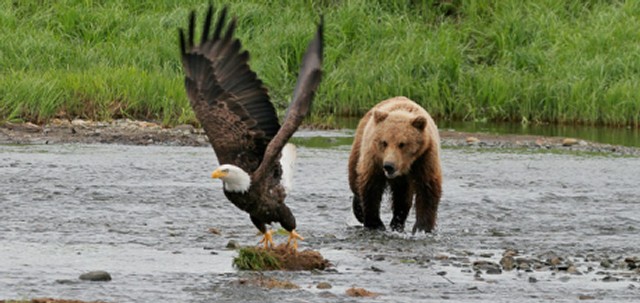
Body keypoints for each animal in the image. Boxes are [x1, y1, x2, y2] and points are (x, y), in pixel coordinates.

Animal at [348, 96, 442, 234]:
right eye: (384, 142)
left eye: (402, 144)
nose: (389, 166)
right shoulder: (374, 158)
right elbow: (371, 186)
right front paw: (375, 224)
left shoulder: (424, 157)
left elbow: (427, 189)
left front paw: (422, 228)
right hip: (359, 147)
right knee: (355, 179)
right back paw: (359, 211)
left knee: (402, 198)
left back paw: (397, 223)